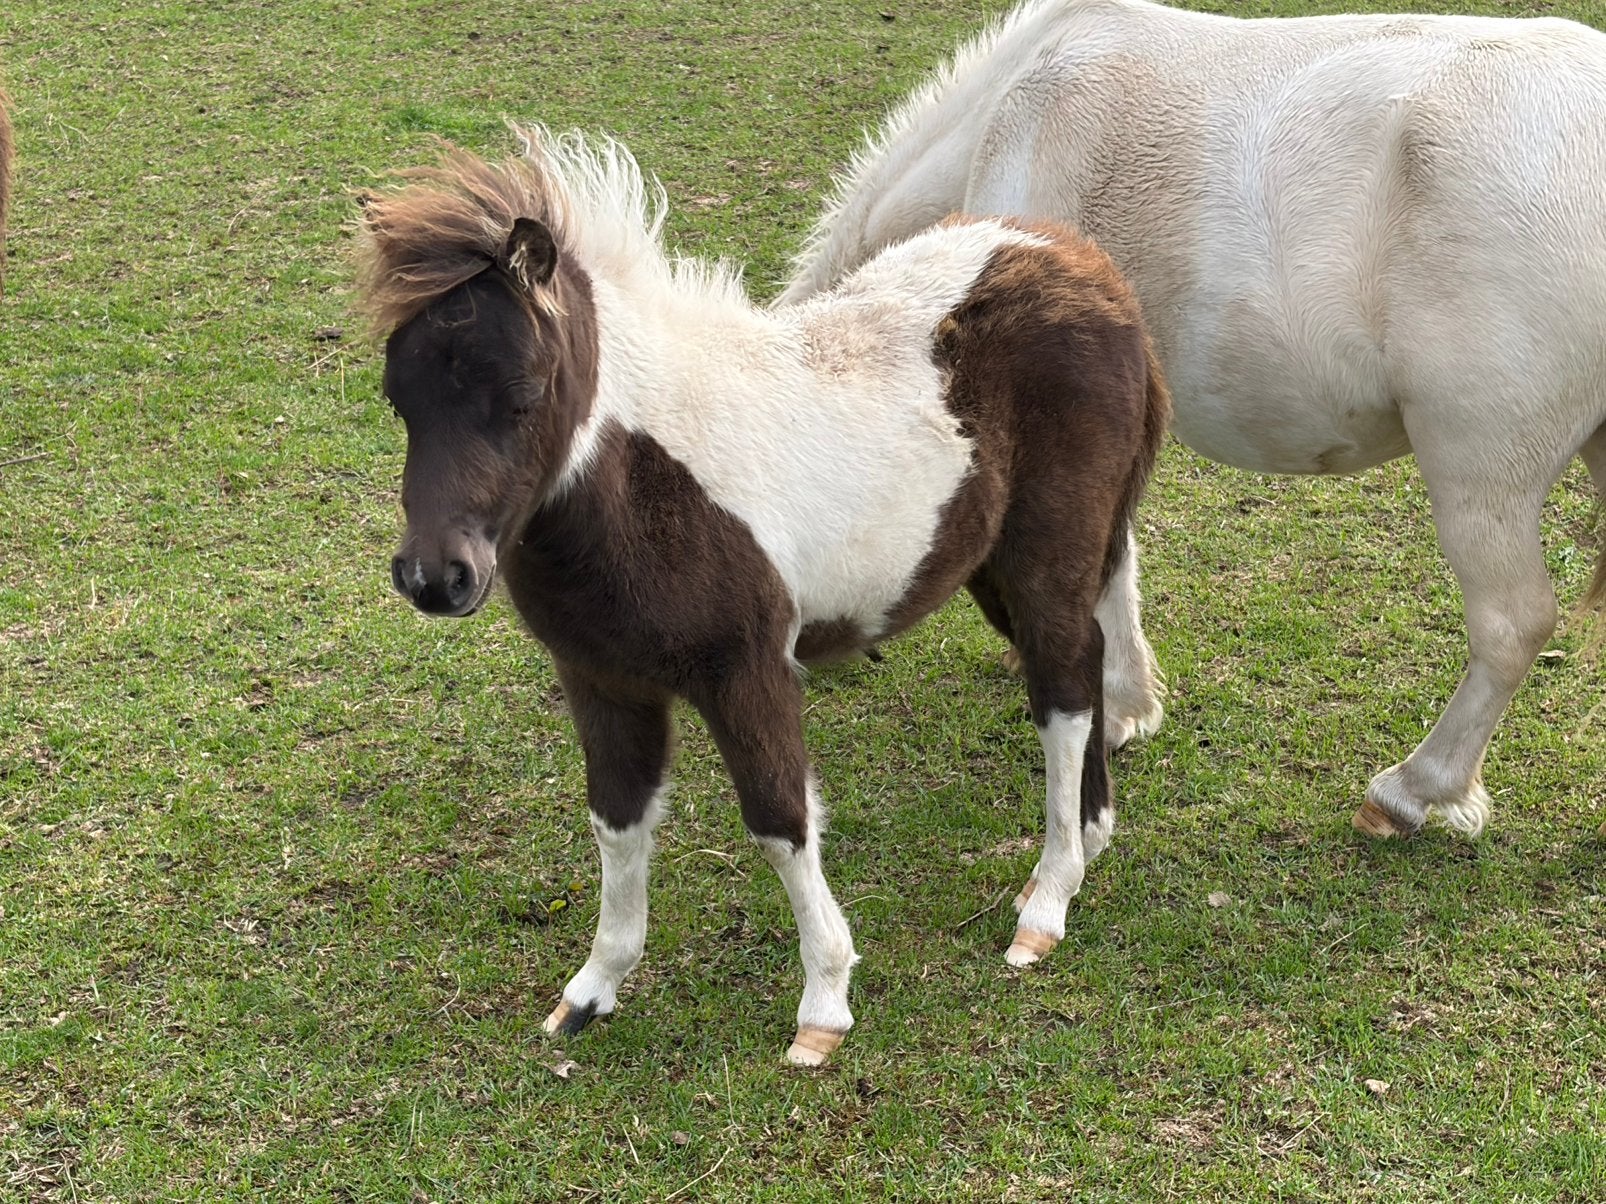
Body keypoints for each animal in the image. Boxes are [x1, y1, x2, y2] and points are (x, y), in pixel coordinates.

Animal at [355, 127, 1168, 1064]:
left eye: (522, 398)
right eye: (398, 397)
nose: (435, 577)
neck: (644, 484)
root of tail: (1090, 269)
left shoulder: (748, 670)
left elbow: (781, 820)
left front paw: (824, 1005)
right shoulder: (601, 679)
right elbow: (616, 821)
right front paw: (592, 990)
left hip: (1046, 551)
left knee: (1062, 696)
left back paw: (1047, 901)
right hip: (997, 564)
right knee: (1086, 656)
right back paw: (1092, 836)